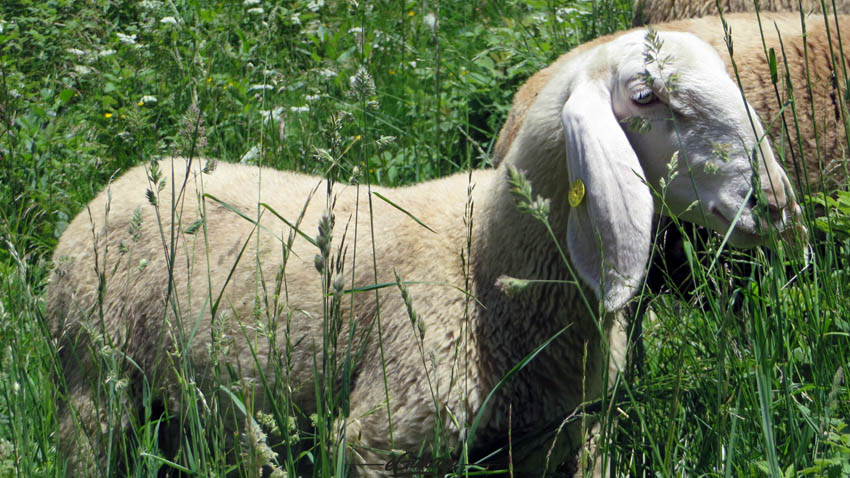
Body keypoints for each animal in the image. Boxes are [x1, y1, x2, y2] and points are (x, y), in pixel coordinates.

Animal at [49, 28, 800, 476]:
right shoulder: (383, 440)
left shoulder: (557, 437)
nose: (775, 204)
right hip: (94, 380)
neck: (485, 266)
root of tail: (125, 180)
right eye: (644, 97)